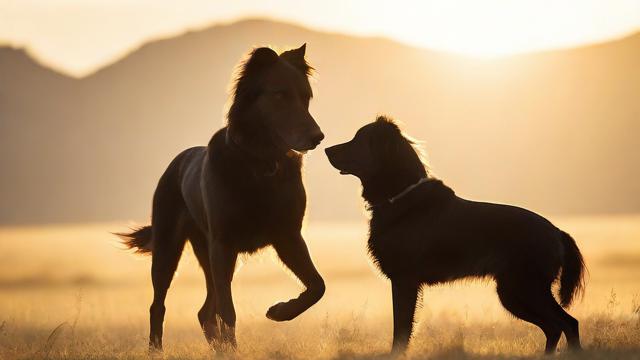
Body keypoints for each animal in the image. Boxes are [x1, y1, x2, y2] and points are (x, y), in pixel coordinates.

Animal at [120, 44, 328, 352]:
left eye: (306, 97)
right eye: (280, 95)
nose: (318, 137)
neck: (261, 164)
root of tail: (177, 161)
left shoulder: (288, 237)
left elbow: (317, 286)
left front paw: (281, 311)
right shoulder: (224, 245)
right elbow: (228, 312)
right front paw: (235, 346)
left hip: (207, 255)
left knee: (205, 311)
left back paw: (218, 349)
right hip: (170, 248)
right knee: (160, 306)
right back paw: (157, 350)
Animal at [324, 116, 584, 354]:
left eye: (358, 139)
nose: (326, 149)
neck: (400, 197)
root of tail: (557, 232)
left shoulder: (403, 279)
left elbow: (401, 331)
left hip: (526, 286)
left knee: (568, 323)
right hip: (514, 291)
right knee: (554, 327)